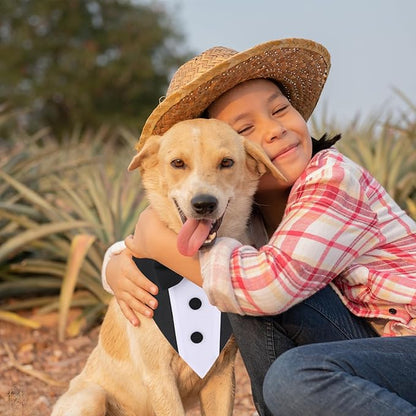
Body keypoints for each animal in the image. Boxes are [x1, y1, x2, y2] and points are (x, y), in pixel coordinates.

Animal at [52, 118, 284, 416]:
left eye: (226, 162)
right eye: (177, 163)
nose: (204, 204)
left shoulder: (222, 374)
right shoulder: (159, 377)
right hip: (90, 398)